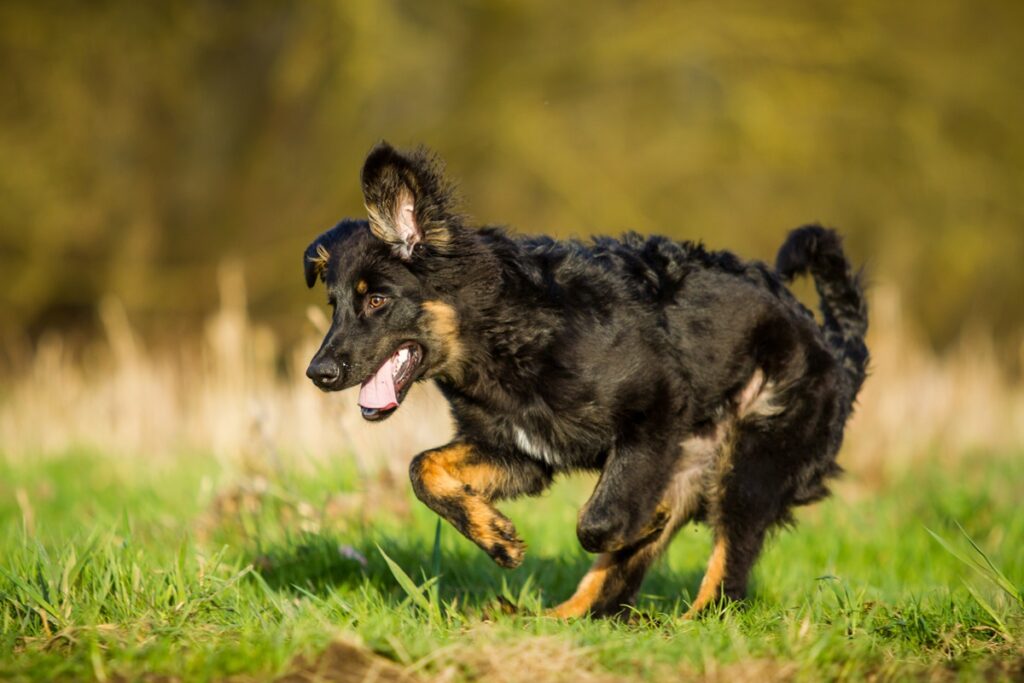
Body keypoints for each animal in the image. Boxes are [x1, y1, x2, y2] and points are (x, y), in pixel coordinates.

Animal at [299, 144, 868, 618]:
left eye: (377, 300)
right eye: (334, 304)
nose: (318, 374)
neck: (504, 332)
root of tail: (835, 347)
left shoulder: (654, 412)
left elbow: (597, 523)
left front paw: (635, 520)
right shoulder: (520, 451)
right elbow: (424, 468)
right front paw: (498, 537)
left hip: (750, 465)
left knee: (725, 577)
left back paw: (687, 622)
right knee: (610, 592)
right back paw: (545, 620)